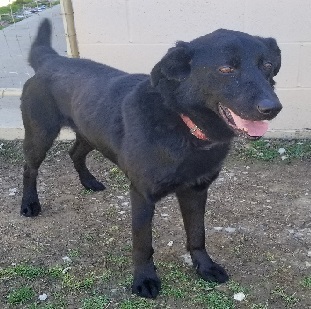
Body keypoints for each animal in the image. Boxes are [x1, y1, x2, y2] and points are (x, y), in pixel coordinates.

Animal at [19, 18, 282, 296]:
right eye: (226, 69)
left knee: (74, 152)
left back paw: (88, 182)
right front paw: (144, 279)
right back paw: (29, 203)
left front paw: (204, 266)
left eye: (266, 66)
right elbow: (143, 243)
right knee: (29, 168)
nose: (272, 108)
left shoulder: (196, 190)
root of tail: (51, 60)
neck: (182, 123)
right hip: (40, 135)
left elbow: (197, 234)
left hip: (90, 133)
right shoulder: (142, 194)